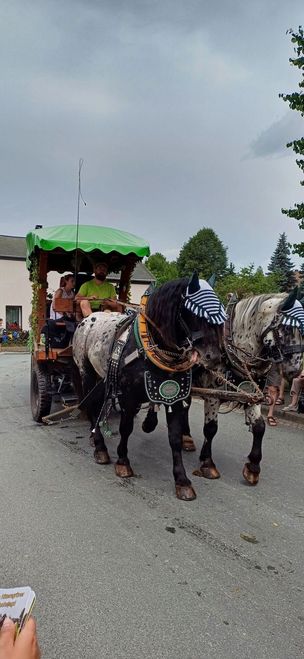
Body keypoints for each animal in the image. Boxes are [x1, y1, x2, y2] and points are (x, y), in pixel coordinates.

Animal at [72, 274, 226, 500]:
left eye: (220, 318)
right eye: (193, 313)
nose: (213, 357)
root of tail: (88, 318)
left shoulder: (175, 398)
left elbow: (175, 438)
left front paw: (182, 480)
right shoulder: (129, 398)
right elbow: (126, 428)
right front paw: (123, 462)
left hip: (102, 377)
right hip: (86, 373)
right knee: (92, 405)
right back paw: (100, 447)